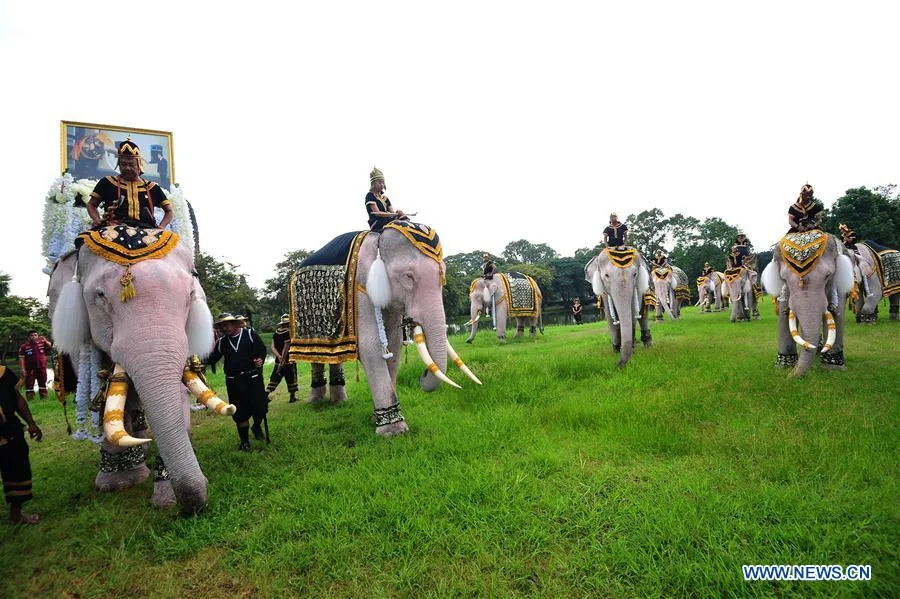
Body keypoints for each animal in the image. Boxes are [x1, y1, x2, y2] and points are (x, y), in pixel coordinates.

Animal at [49, 226, 227, 516]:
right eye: (100, 296)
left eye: (191, 295)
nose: (192, 509)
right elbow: (104, 391)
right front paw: (117, 485)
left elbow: (178, 391)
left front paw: (166, 497)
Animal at [292, 223, 482, 438]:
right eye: (408, 276)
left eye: (442, 276)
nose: (423, 375)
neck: (377, 238)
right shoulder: (359, 289)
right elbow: (371, 346)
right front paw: (393, 431)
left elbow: (393, 345)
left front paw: (376, 419)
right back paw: (315, 402)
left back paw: (339, 402)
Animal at [764, 230, 856, 376]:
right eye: (784, 279)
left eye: (827, 276)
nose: (788, 377)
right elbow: (784, 314)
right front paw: (783, 366)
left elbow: (837, 313)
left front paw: (833, 368)